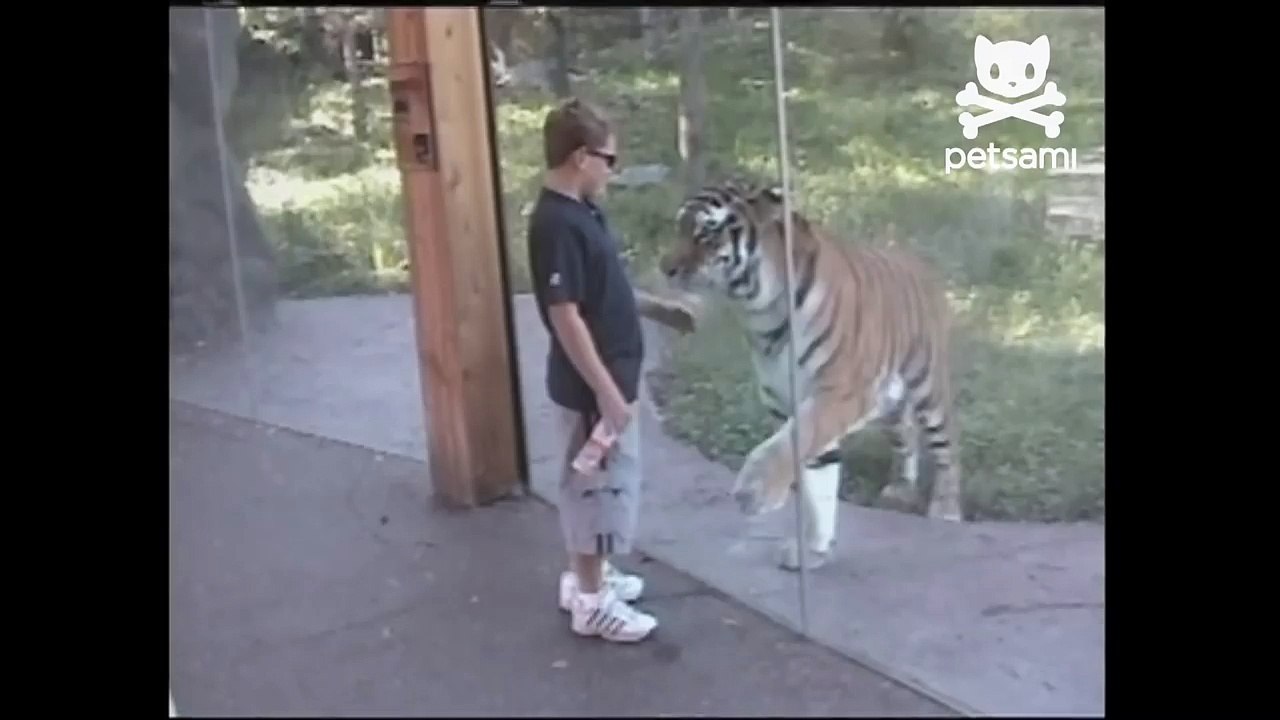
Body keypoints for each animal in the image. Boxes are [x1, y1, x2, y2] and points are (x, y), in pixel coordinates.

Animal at [656, 178, 964, 572]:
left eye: (705, 234)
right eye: (678, 227)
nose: (665, 268)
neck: (759, 311)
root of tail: (921, 262)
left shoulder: (837, 393)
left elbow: (790, 444)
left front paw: (756, 490)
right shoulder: (788, 401)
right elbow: (817, 481)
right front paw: (815, 549)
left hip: (927, 387)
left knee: (948, 447)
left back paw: (946, 509)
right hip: (889, 403)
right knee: (906, 434)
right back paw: (900, 488)